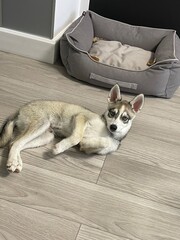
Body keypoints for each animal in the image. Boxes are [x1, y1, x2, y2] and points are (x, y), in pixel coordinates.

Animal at [0, 83, 144, 172]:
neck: (109, 133)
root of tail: (19, 110)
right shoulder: (80, 117)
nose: (113, 127)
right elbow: (77, 137)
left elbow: (102, 143)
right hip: (42, 123)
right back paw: (13, 161)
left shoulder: (91, 150)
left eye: (125, 118)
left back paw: (16, 162)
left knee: (15, 143)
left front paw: (88, 141)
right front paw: (60, 147)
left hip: (46, 135)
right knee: (16, 142)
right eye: (112, 113)